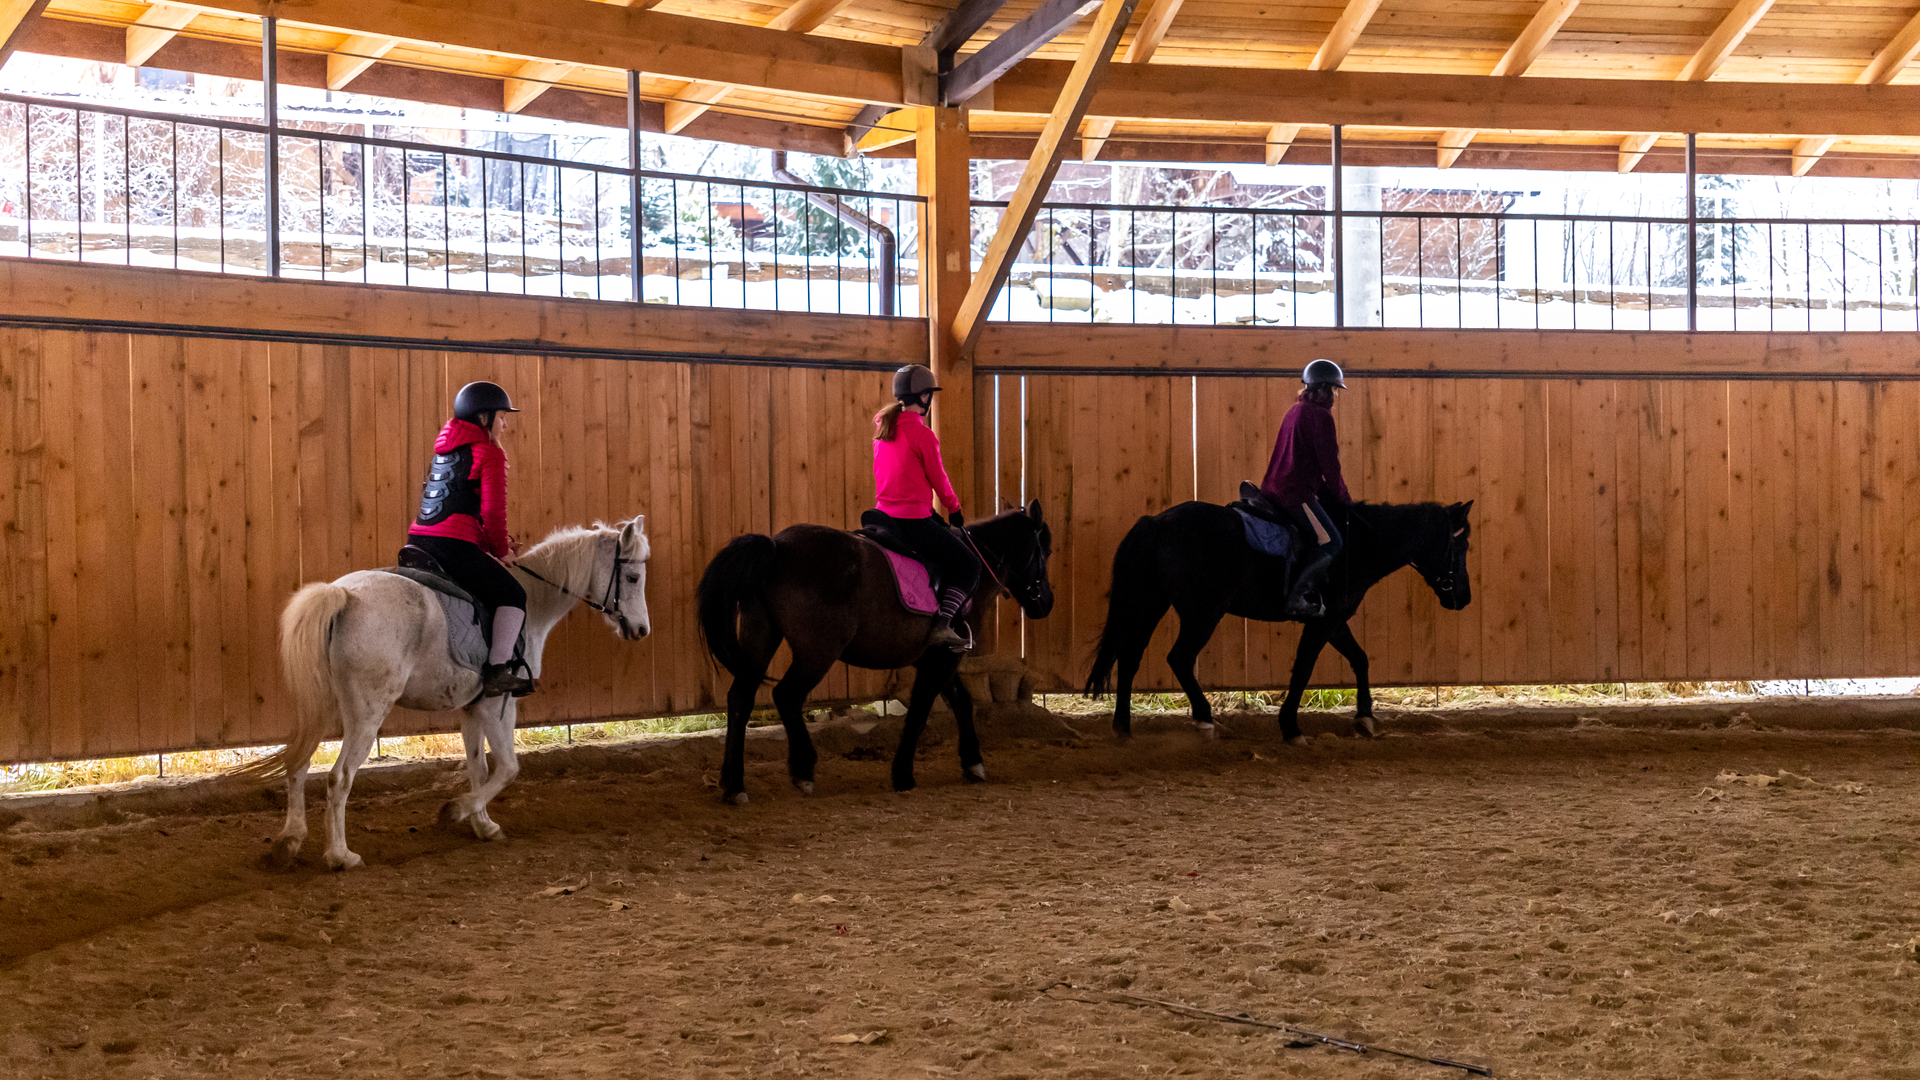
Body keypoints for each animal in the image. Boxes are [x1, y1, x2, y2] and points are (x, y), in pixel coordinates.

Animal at [243, 515, 652, 864]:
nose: (642, 630)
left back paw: (290, 841)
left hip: (321, 707)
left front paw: (482, 824)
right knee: (339, 776)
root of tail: (343, 595)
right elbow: (508, 768)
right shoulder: (499, 704)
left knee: (299, 764)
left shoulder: (472, 707)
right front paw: (455, 811)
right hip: (366, 713)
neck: (534, 604)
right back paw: (340, 856)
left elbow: (478, 767)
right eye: (632, 578)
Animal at [695, 503, 1052, 799]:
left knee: (740, 699)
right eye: (1045, 551)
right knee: (786, 696)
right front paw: (903, 774)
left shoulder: (938, 656)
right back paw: (802, 770)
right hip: (817, 651)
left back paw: (734, 785)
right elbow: (921, 709)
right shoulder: (945, 657)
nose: (1046, 602)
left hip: (760, 639)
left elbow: (961, 702)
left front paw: (973, 763)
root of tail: (776, 546)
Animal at [1090, 499, 1474, 737]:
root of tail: (1157, 522)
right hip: (1202, 613)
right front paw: (1290, 726)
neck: (1358, 544)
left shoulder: (1334, 620)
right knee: (1179, 658)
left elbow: (1360, 659)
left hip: (1150, 603)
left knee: (1129, 657)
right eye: (1462, 545)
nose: (1464, 598)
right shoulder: (1323, 622)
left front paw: (1365, 717)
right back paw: (1204, 719)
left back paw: (1123, 727)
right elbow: (1303, 668)